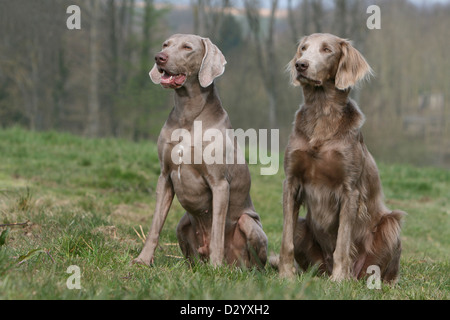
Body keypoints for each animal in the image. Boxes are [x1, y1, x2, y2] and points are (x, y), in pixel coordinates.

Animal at [280, 33, 406, 282]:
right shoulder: (291, 182)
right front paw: (285, 275)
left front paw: (338, 280)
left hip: (391, 224)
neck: (322, 113)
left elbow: (343, 242)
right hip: (304, 228)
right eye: (303, 48)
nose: (301, 65)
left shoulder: (350, 189)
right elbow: (286, 240)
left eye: (327, 50)